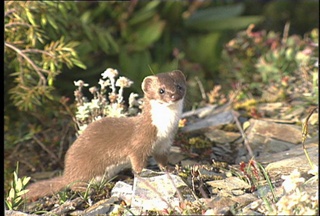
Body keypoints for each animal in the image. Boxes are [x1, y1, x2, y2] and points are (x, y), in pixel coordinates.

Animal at [23, 70, 186, 200]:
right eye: (161, 90)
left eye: (179, 86)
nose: (174, 95)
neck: (163, 129)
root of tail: (67, 172)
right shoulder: (139, 142)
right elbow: (137, 163)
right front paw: (143, 174)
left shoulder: (164, 143)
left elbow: (162, 160)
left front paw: (171, 169)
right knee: (73, 185)